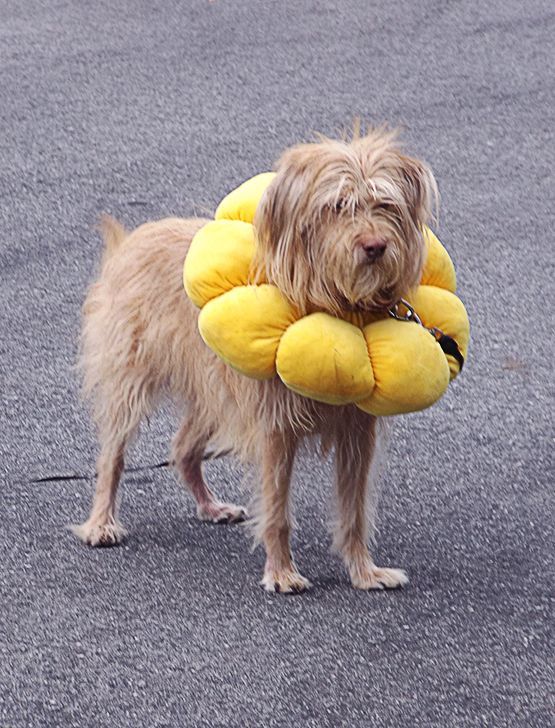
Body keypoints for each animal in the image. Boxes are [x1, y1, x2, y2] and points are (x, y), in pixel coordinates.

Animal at [73, 126, 438, 593]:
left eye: (385, 204)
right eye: (338, 206)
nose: (374, 246)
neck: (337, 305)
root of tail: (128, 243)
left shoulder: (357, 432)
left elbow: (354, 510)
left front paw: (364, 571)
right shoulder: (275, 429)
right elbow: (278, 511)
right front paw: (281, 573)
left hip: (212, 392)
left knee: (183, 449)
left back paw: (211, 507)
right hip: (131, 382)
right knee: (112, 456)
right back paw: (101, 523)